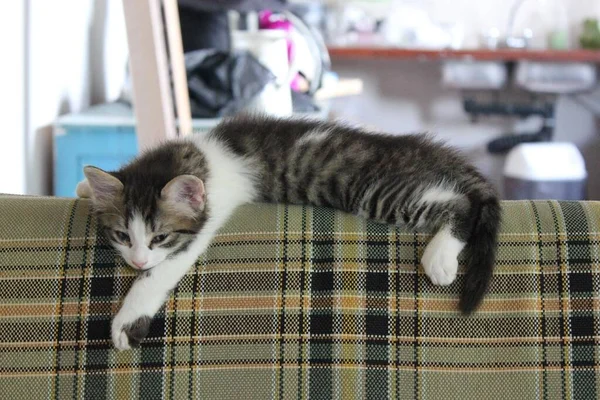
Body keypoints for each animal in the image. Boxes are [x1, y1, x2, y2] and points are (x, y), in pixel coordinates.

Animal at [79, 115, 502, 350]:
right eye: (121, 236)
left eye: (160, 238)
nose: (136, 261)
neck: (193, 157)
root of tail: (431, 151)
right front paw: (86, 188)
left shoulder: (207, 217)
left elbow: (160, 272)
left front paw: (127, 320)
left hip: (380, 192)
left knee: (461, 203)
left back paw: (440, 256)